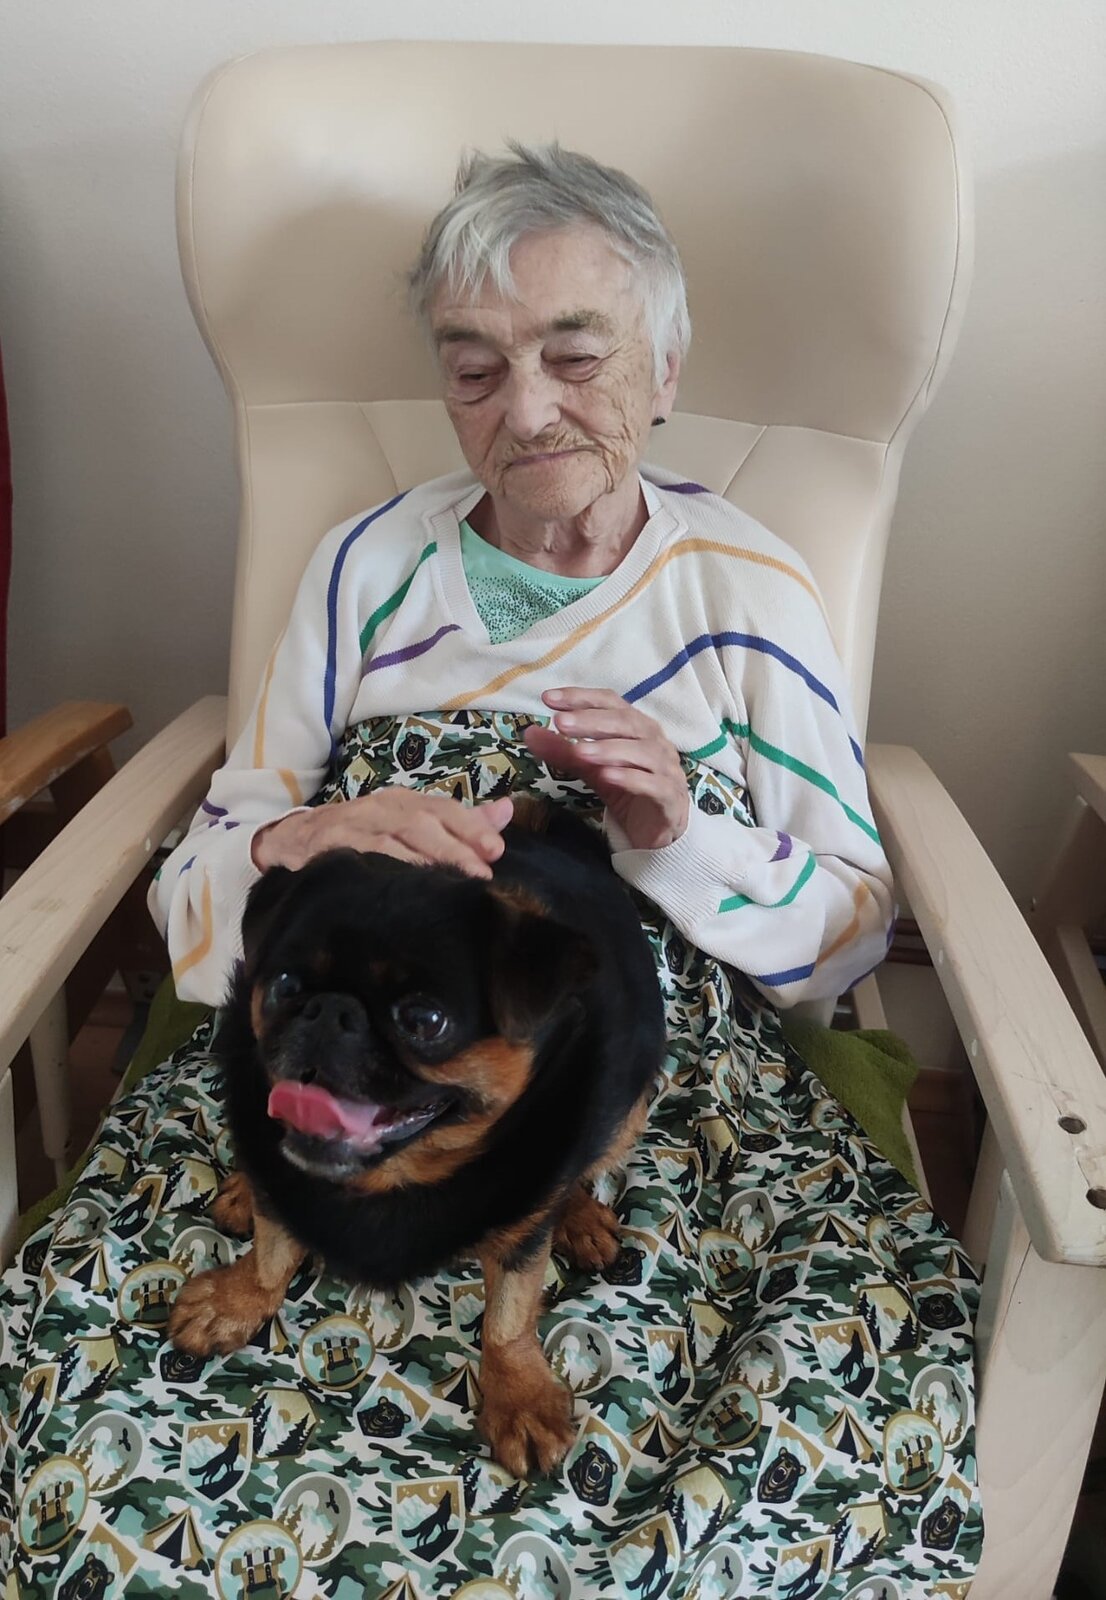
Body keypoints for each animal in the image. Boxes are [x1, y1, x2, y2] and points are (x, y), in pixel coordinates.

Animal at [167, 798, 666, 1477]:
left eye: (426, 1021)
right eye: (285, 987)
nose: (330, 1011)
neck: (390, 1180)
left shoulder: (521, 1240)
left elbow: (509, 1314)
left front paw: (518, 1395)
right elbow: (273, 1245)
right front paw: (240, 1297)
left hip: (628, 1110)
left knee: (578, 1167)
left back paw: (577, 1215)